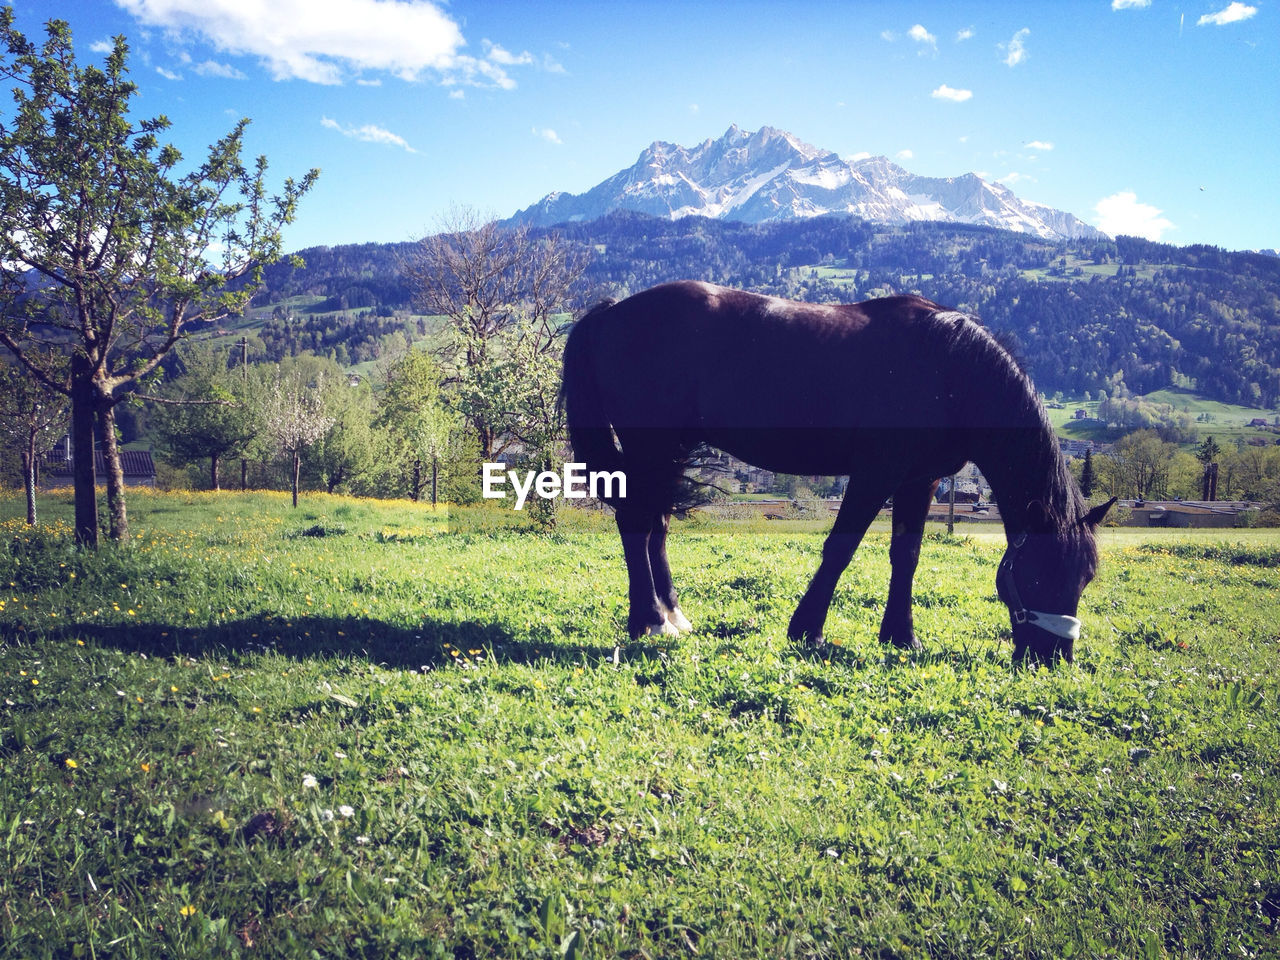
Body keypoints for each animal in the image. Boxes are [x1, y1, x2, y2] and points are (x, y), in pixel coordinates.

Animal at [560, 281, 1111, 665]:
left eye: (1085, 577)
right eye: (1040, 572)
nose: (1053, 658)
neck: (949, 368)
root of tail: (613, 310)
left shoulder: (920, 480)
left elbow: (907, 556)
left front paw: (901, 636)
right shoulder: (876, 473)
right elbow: (841, 548)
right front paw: (808, 629)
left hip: (672, 451)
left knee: (656, 524)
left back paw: (672, 614)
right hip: (650, 448)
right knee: (636, 522)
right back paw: (648, 621)